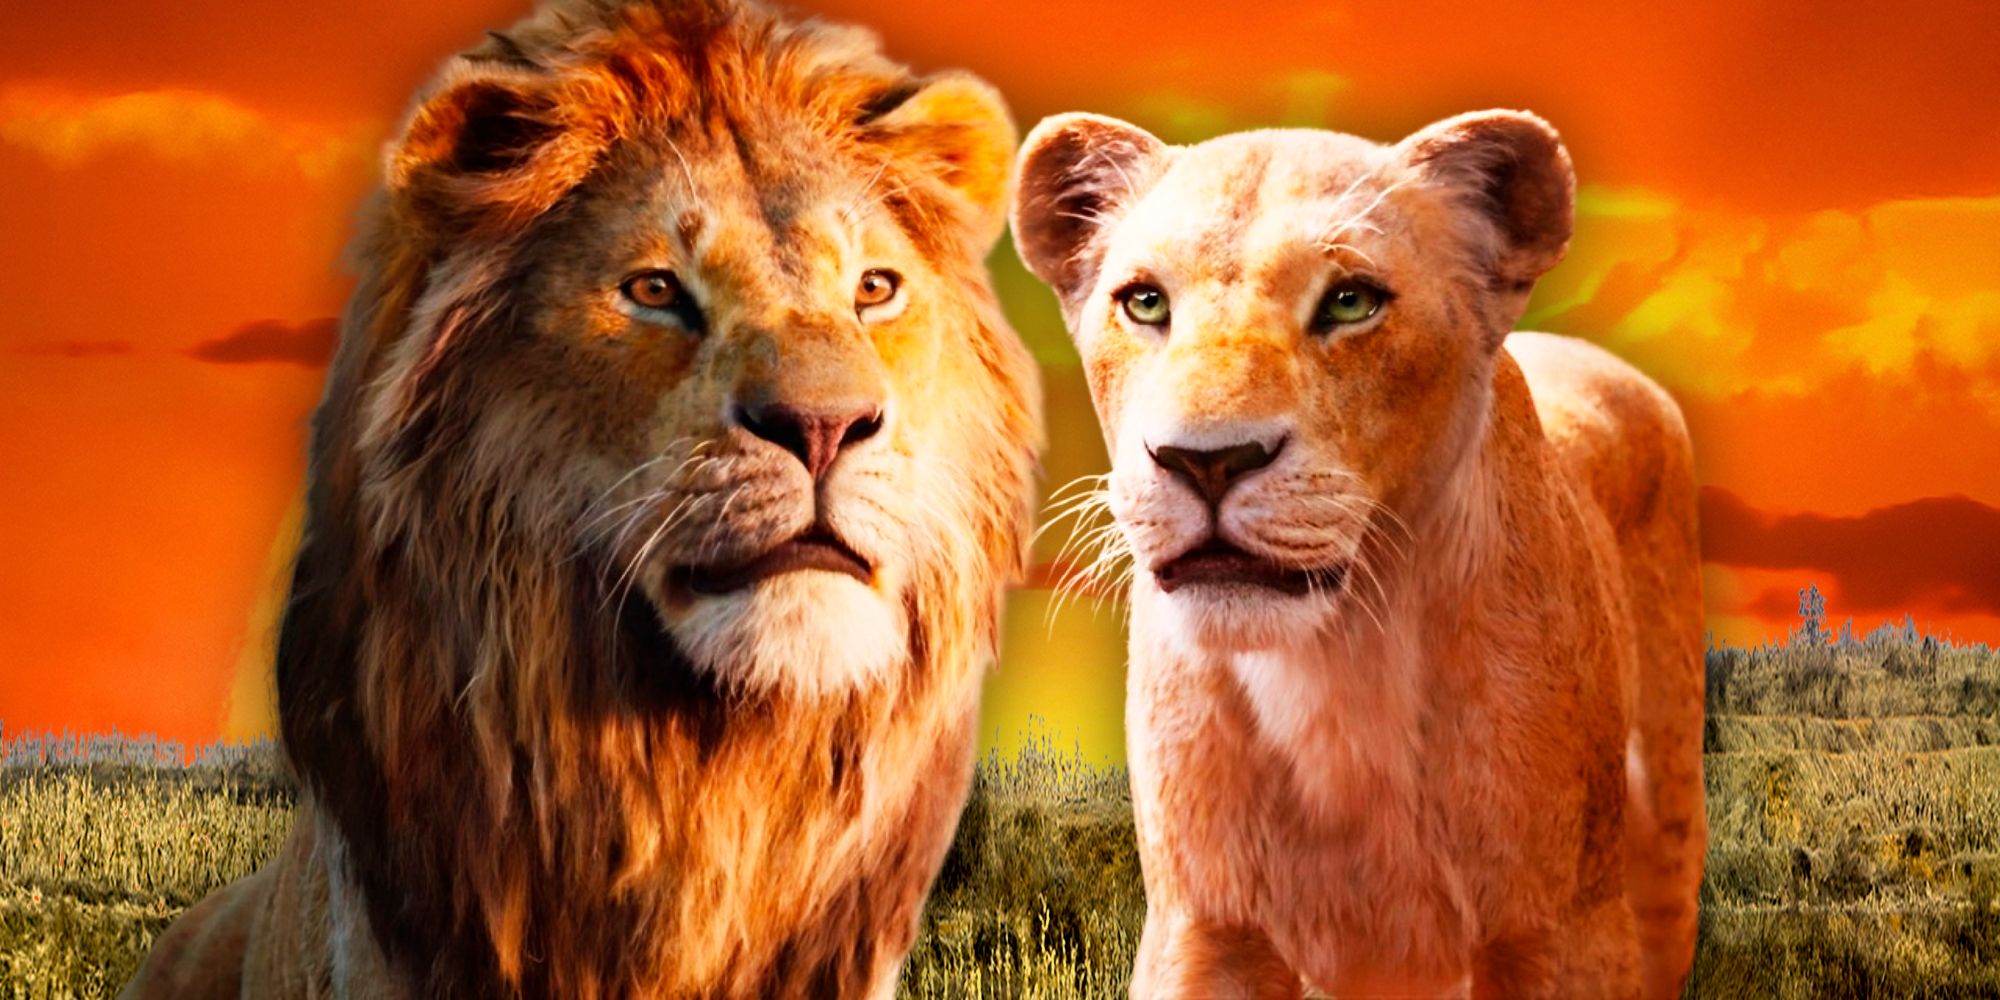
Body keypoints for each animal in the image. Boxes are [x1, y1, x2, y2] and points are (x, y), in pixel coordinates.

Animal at [1010, 110, 1706, 999]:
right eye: (1145, 302)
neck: (1337, 661)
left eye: (1349, 301)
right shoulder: (1203, 930)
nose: (1206, 461)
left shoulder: (1565, 934)